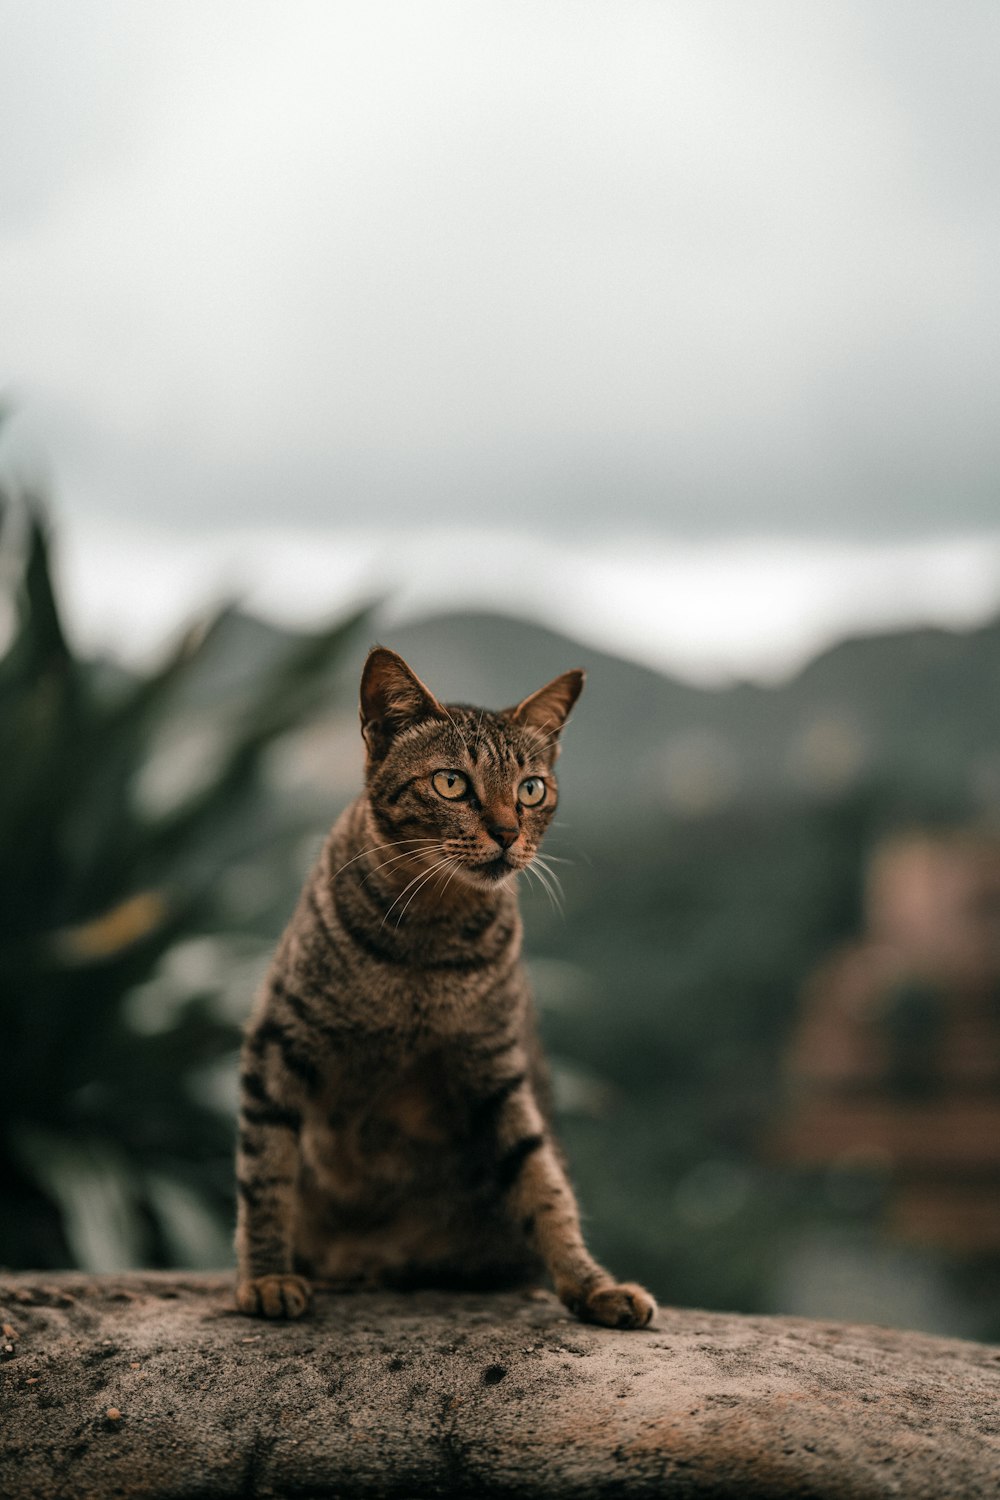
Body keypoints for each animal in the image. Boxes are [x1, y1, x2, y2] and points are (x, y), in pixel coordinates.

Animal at [233, 645, 656, 1326]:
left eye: (531, 789)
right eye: (451, 782)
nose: (508, 832)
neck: (425, 944)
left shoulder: (495, 1064)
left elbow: (542, 1183)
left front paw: (592, 1285)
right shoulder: (278, 1041)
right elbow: (265, 1172)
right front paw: (268, 1276)